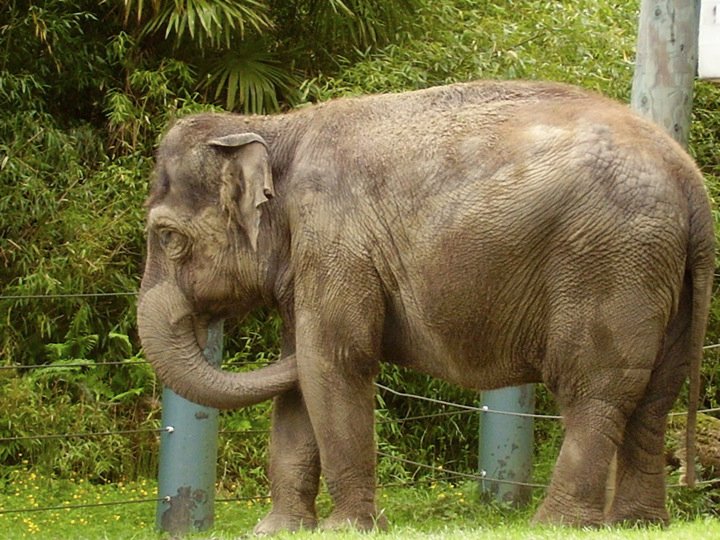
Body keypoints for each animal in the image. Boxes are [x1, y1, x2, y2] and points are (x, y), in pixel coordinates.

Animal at [137, 80, 714, 533]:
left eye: (167, 238)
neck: (274, 127)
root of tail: (690, 182)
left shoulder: (334, 238)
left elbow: (333, 359)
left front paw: (348, 527)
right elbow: (302, 377)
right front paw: (277, 530)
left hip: (609, 264)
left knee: (595, 389)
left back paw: (556, 523)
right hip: (663, 277)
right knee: (653, 395)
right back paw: (637, 523)